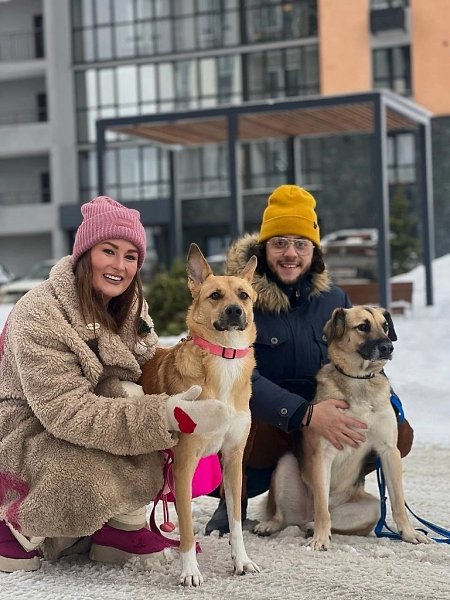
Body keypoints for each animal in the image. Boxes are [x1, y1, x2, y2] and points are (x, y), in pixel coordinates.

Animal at [140, 243, 260, 586]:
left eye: (244, 295)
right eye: (215, 295)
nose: (235, 311)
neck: (224, 357)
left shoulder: (233, 459)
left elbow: (235, 520)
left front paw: (241, 560)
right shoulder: (183, 465)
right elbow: (187, 529)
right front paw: (190, 571)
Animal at [255, 306, 430, 549]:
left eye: (385, 325)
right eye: (363, 326)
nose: (388, 347)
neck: (360, 379)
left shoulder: (389, 451)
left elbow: (397, 501)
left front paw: (409, 533)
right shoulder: (322, 454)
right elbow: (321, 509)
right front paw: (321, 539)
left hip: (372, 508)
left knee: (323, 519)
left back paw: (310, 528)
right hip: (285, 465)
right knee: (291, 515)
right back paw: (272, 525)